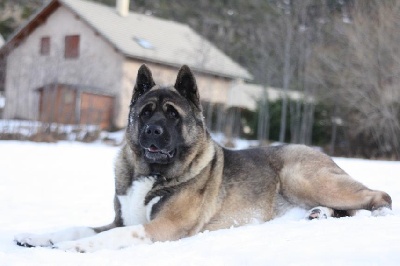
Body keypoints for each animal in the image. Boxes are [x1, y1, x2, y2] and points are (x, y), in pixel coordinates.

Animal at [13, 65, 394, 252]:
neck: (149, 172)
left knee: (377, 195)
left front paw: (77, 248)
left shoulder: (164, 226)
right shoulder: (120, 219)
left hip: (301, 176)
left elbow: (105, 237)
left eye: (172, 115)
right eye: (145, 112)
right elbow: (76, 227)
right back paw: (319, 214)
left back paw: (379, 213)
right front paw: (38, 237)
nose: (151, 130)